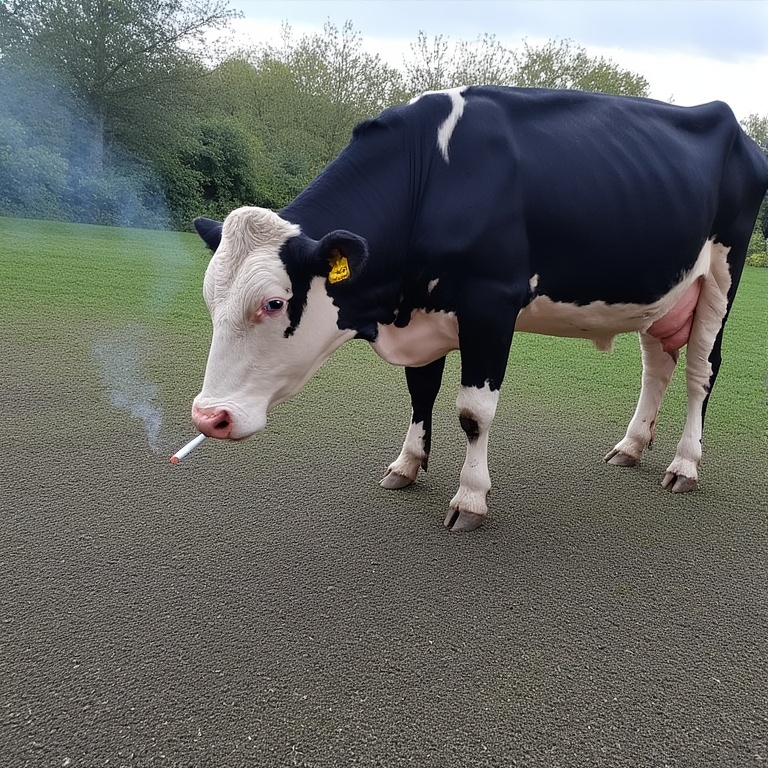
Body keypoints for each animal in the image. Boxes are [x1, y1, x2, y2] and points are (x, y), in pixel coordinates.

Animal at [190, 86, 768, 532]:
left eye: (273, 303)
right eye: (209, 299)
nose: (208, 417)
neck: (431, 176)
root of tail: (737, 129)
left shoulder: (491, 303)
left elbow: (473, 412)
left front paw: (470, 498)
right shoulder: (423, 314)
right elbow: (420, 393)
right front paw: (407, 464)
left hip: (722, 276)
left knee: (701, 371)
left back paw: (685, 464)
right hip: (663, 292)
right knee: (657, 366)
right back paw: (631, 445)